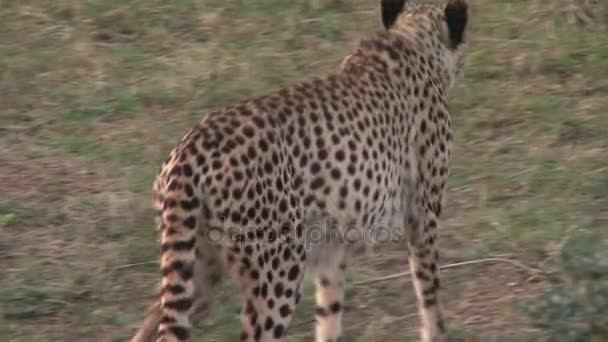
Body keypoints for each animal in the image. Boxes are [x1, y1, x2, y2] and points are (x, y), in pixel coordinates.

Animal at [132, 1, 470, 340]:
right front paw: (438, 331)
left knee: (156, 319)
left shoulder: (332, 247)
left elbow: (329, 313)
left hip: (198, 263)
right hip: (278, 273)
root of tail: (189, 150)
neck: (410, 40)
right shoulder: (422, 216)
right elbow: (429, 291)